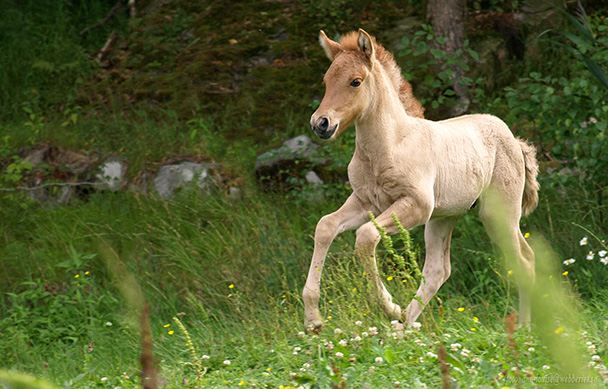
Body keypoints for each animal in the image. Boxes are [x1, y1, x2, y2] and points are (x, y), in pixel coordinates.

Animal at [302, 29, 540, 330]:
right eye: (326, 80)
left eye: (355, 81)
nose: (320, 123)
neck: (389, 145)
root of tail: (514, 140)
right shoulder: (366, 202)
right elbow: (325, 226)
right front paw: (313, 319)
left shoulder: (417, 205)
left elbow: (366, 237)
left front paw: (389, 306)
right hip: (445, 217)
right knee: (440, 270)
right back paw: (402, 329)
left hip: (498, 213)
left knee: (522, 263)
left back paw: (524, 329)